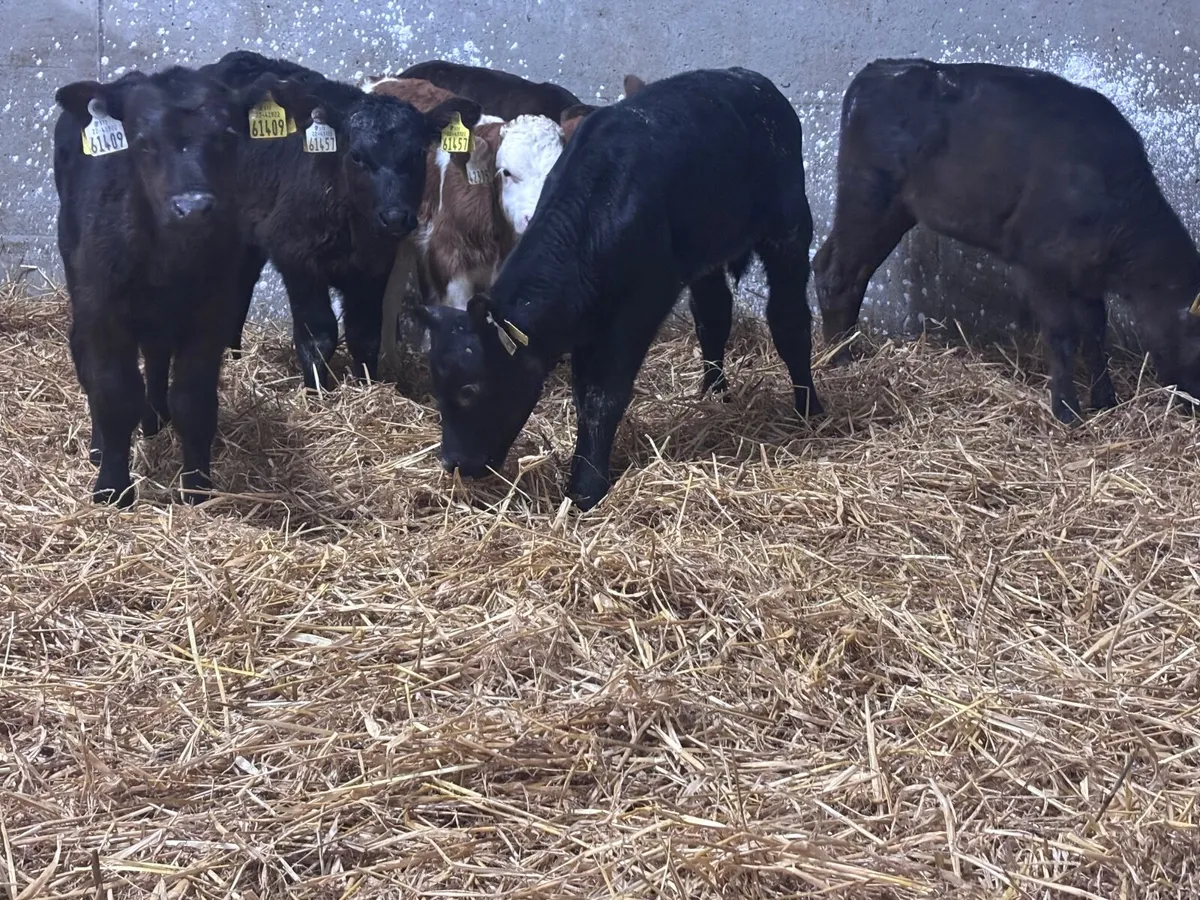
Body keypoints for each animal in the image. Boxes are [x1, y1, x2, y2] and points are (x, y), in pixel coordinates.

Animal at [53, 65, 279, 506]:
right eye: (143, 142)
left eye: (228, 136)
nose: (193, 207)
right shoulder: (104, 311)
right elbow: (114, 393)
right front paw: (112, 487)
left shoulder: (213, 314)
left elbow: (194, 401)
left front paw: (197, 487)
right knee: (85, 359)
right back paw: (100, 445)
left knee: (157, 358)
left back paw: (155, 418)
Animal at [202, 51, 482, 391]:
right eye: (357, 155)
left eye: (417, 154)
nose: (394, 217)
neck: (354, 232)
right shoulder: (297, 257)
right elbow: (318, 336)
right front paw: (316, 392)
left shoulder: (375, 267)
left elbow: (365, 334)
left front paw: (367, 385)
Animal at [415, 67, 823, 512]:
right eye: (436, 386)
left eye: (470, 388)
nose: (453, 462)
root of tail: (749, 79)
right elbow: (584, 393)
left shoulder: (638, 305)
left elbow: (603, 393)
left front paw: (587, 487)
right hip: (707, 247)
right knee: (714, 314)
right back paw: (713, 393)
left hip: (790, 227)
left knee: (789, 320)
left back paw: (809, 409)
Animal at [813, 58, 1200, 422]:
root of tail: (879, 69)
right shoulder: (1039, 265)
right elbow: (1062, 335)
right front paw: (1067, 410)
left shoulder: (1086, 273)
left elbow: (1094, 332)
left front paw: (1105, 399)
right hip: (867, 195)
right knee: (838, 273)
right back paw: (840, 357)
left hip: (892, 212)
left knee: (838, 265)